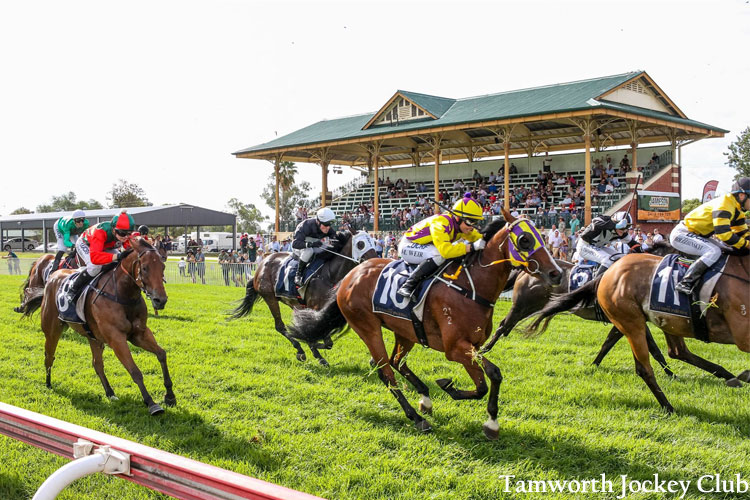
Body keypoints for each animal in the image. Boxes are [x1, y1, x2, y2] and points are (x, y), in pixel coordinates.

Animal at [19, 236, 176, 416]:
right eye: (144, 268)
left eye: (163, 266)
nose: (160, 300)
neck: (122, 294)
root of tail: (53, 274)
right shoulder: (116, 338)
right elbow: (135, 371)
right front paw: (151, 403)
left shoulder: (139, 334)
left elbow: (161, 354)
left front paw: (170, 396)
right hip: (52, 329)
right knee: (49, 356)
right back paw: (48, 383)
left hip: (93, 336)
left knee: (97, 363)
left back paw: (110, 392)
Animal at [229, 229, 378, 366]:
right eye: (360, 244)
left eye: (373, 242)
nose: (374, 260)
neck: (330, 274)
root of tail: (261, 265)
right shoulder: (316, 309)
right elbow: (323, 339)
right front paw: (314, 348)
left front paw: (373, 359)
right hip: (270, 298)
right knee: (280, 326)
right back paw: (301, 351)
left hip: (294, 304)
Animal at [288, 211, 564, 438]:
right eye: (525, 240)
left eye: (541, 236)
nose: (557, 273)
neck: (471, 286)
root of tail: (350, 276)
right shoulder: (456, 348)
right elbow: (486, 381)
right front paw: (450, 387)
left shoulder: (473, 346)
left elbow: (490, 378)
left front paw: (491, 422)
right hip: (367, 327)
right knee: (386, 371)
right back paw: (416, 417)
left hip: (405, 330)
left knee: (397, 362)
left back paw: (424, 397)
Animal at [528, 252, 750, 412]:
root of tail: (608, 273)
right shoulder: (742, 335)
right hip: (632, 322)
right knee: (645, 368)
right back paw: (669, 406)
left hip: (665, 321)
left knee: (677, 352)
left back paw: (728, 376)